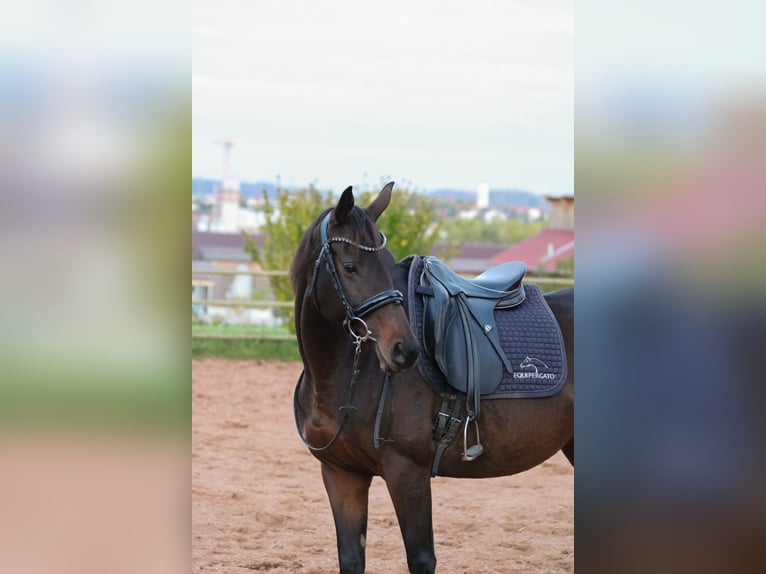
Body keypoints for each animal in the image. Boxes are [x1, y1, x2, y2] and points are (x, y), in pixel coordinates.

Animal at [290, 183, 574, 574]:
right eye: (350, 267)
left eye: (387, 262)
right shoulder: (341, 474)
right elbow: (351, 557)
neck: (341, 375)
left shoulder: (407, 472)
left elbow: (421, 558)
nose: (404, 349)